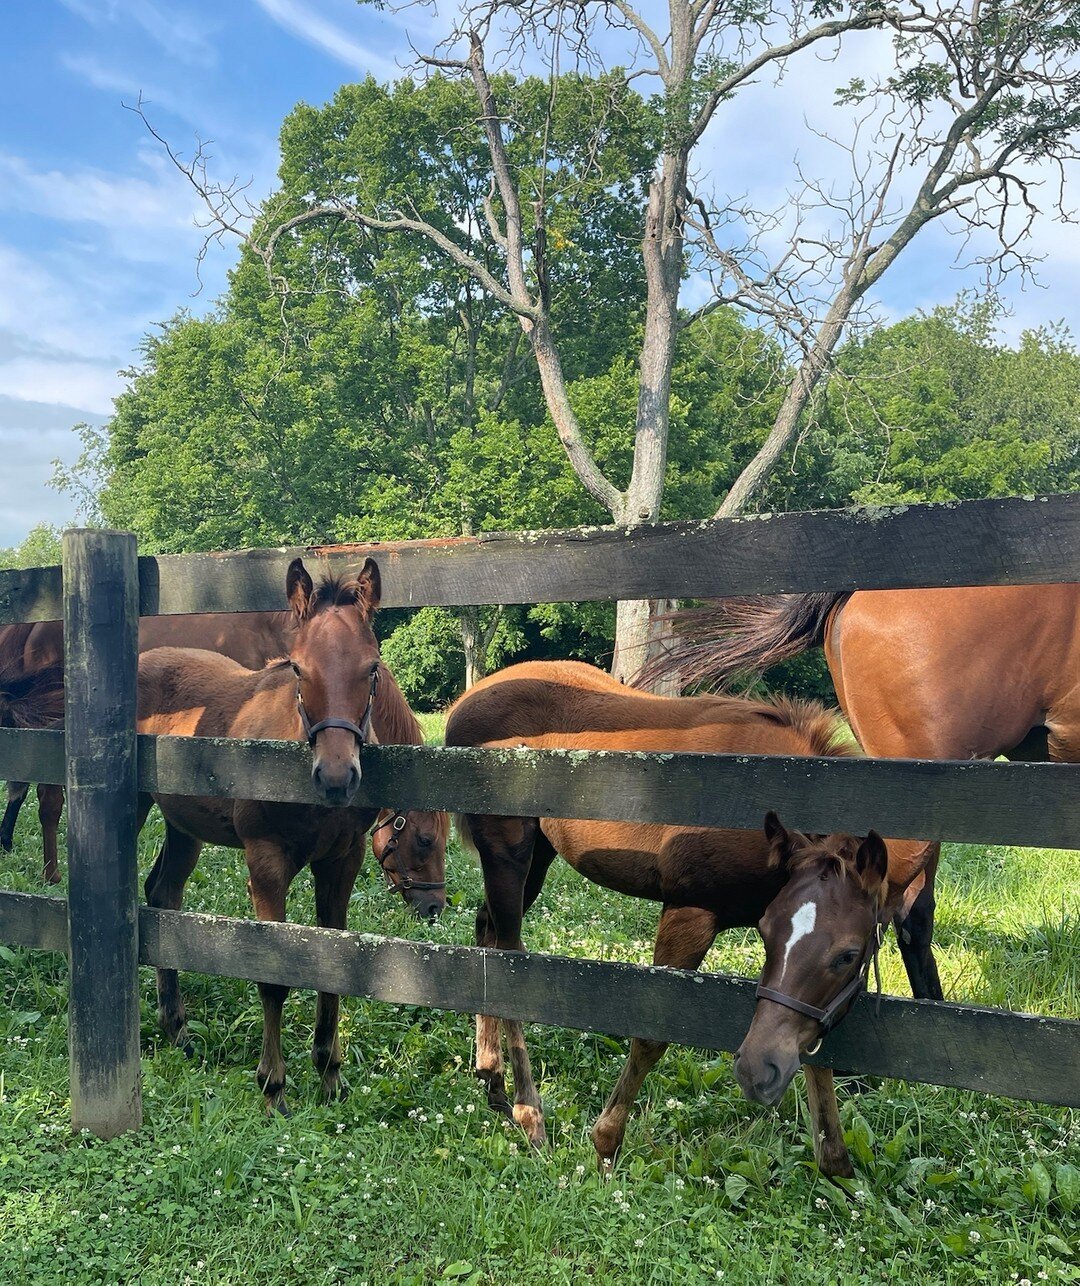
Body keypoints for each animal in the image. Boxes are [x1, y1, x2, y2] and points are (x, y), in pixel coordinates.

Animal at [136, 563, 447, 1116]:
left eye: (371, 668)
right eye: (299, 669)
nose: (337, 777)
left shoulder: (340, 863)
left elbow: (333, 965)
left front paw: (330, 1076)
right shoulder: (266, 865)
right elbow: (273, 976)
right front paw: (273, 1087)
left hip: (183, 828)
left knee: (163, 895)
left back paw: (178, 1030)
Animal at [442, 663, 889, 1177]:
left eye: (849, 954)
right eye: (766, 931)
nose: (758, 1075)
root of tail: (464, 702)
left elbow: (814, 1046)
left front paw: (836, 1165)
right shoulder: (688, 913)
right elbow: (653, 1035)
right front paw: (605, 1143)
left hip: (538, 856)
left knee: (487, 932)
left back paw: (491, 1076)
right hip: (508, 856)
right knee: (508, 958)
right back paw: (529, 1113)